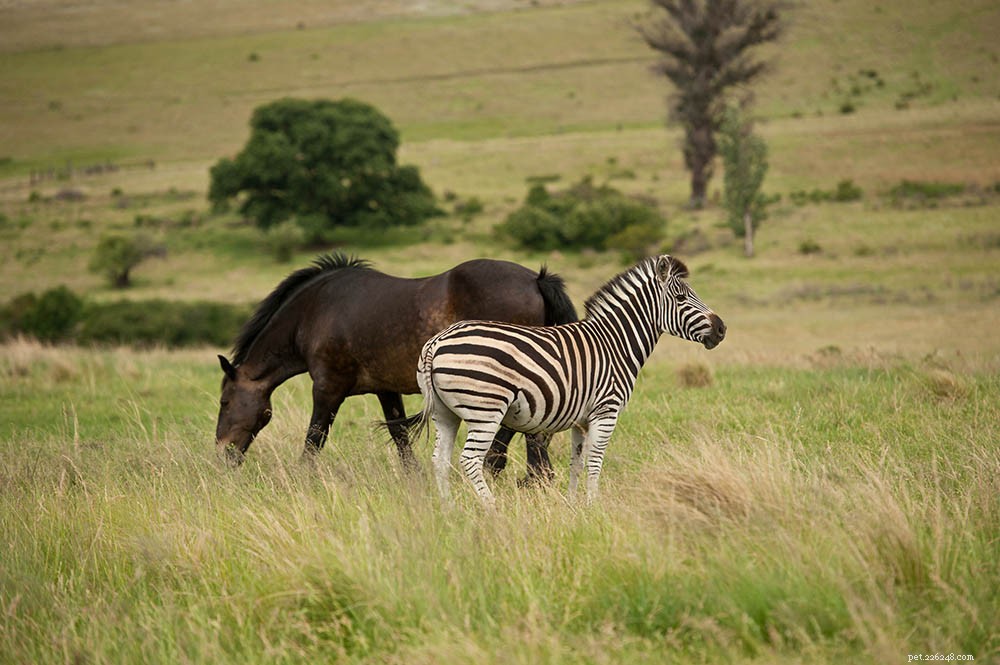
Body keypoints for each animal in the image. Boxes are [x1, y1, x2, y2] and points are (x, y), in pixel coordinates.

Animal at [214, 253, 578, 479]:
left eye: (224, 402)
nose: (223, 454)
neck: (314, 312)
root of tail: (536, 280)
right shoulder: (385, 389)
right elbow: (399, 433)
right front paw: (414, 479)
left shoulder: (328, 387)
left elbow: (315, 436)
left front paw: (303, 475)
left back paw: (509, 470)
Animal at [405, 254, 726, 506]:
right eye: (681, 298)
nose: (721, 329)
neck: (615, 343)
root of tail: (437, 341)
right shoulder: (606, 411)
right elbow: (595, 461)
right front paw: (594, 506)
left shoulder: (580, 420)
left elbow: (577, 462)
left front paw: (573, 505)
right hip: (486, 410)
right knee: (469, 460)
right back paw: (491, 509)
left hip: (445, 413)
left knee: (440, 459)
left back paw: (449, 511)